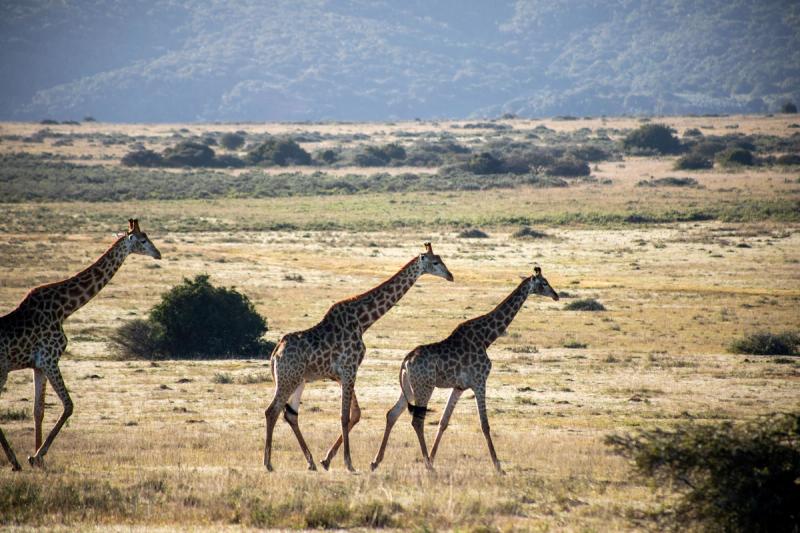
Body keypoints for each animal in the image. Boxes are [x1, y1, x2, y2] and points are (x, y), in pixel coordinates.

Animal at [0, 219, 161, 471]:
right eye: (143, 240)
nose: (158, 254)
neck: (63, 309)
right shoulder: (49, 359)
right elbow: (68, 405)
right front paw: (38, 455)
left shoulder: (38, 365)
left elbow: (38, 410)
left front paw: (35, 458)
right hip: (2, 370)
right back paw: (14, 461)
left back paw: (15, 461)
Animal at [263, 243, 454, 473]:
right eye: (435, 262)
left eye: (442, 260)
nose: (451, 275)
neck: (363, 321)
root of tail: (275, 353)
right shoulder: (349, 368)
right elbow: (345, 416)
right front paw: (349, 463)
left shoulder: (343, 374)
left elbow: (355, 414)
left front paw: (327, 460)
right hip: (287, 379)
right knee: (271, 411)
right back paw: (268, 463)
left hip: (298, 380)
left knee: (290, 414)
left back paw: (310, 462)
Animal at [370, 266, 559, 474]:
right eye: (544, 283)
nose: (556, 295)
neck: (486, 337)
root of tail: (405, 362)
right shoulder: (479, 381)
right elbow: (485, 424)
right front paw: (498, 466)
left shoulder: (459, 387)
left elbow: (443, 422)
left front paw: (434, 457)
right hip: (424, 387)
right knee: (417, 421)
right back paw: (428, 466)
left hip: (409, 389)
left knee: (392, 414)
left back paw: (376, 462)